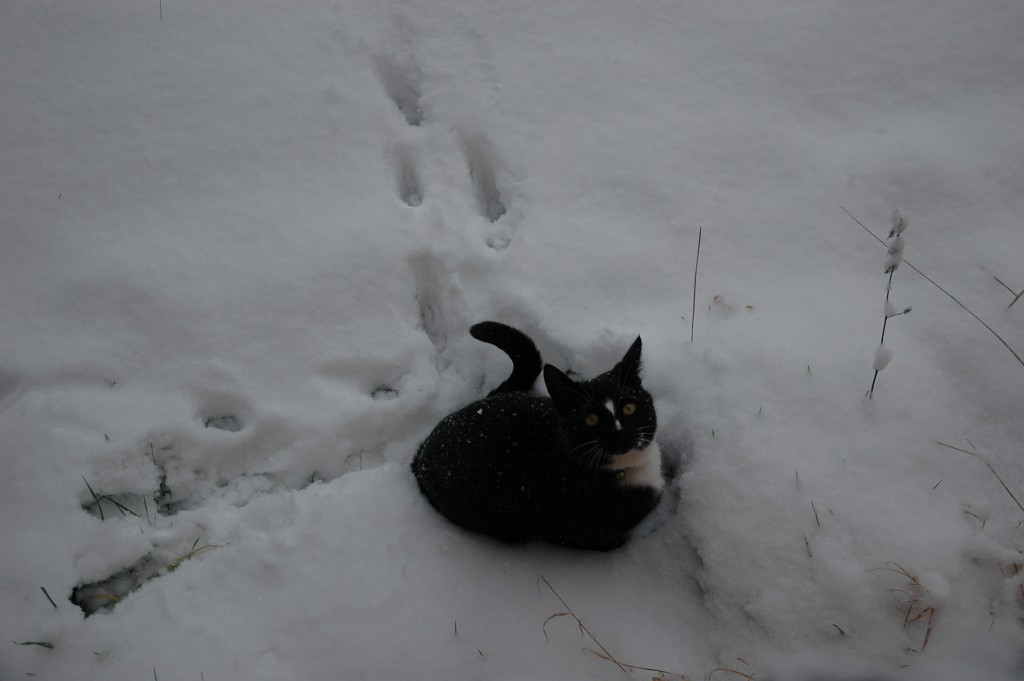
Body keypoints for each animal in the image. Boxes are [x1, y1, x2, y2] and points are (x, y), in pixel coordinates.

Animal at [409, 321, 663, 548]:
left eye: (629, 408)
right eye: (591, 419)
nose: (620, 433)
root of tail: (422, 453)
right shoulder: (568, 530)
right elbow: (610, 541)